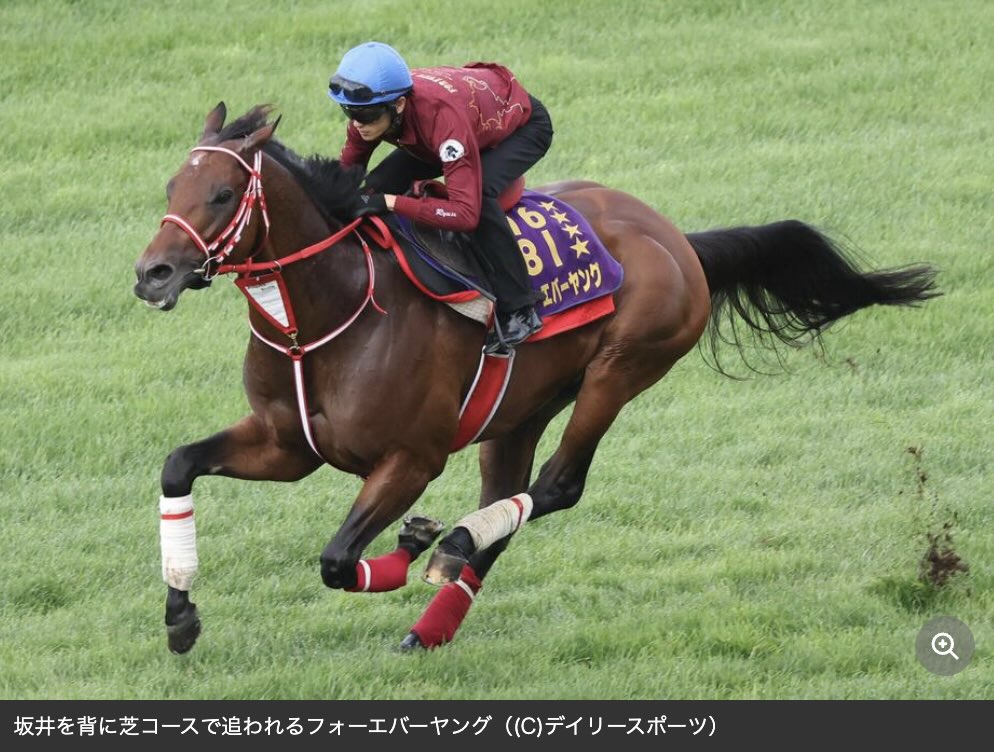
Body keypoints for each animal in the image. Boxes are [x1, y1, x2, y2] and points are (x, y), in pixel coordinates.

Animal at [133, 103, 939, 654]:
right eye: (170, 185)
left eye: (222, 195)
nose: (153, 274)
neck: (326, 315)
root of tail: (678, 237)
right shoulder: (286, 446)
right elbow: (177, 465)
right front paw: (180, 616)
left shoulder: (412, 458)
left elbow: (336, 561)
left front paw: (409, 543)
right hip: (518, 410)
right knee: (508, 499)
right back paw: (435, 608)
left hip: (621, 369)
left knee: (555, 487)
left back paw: (448, 546)